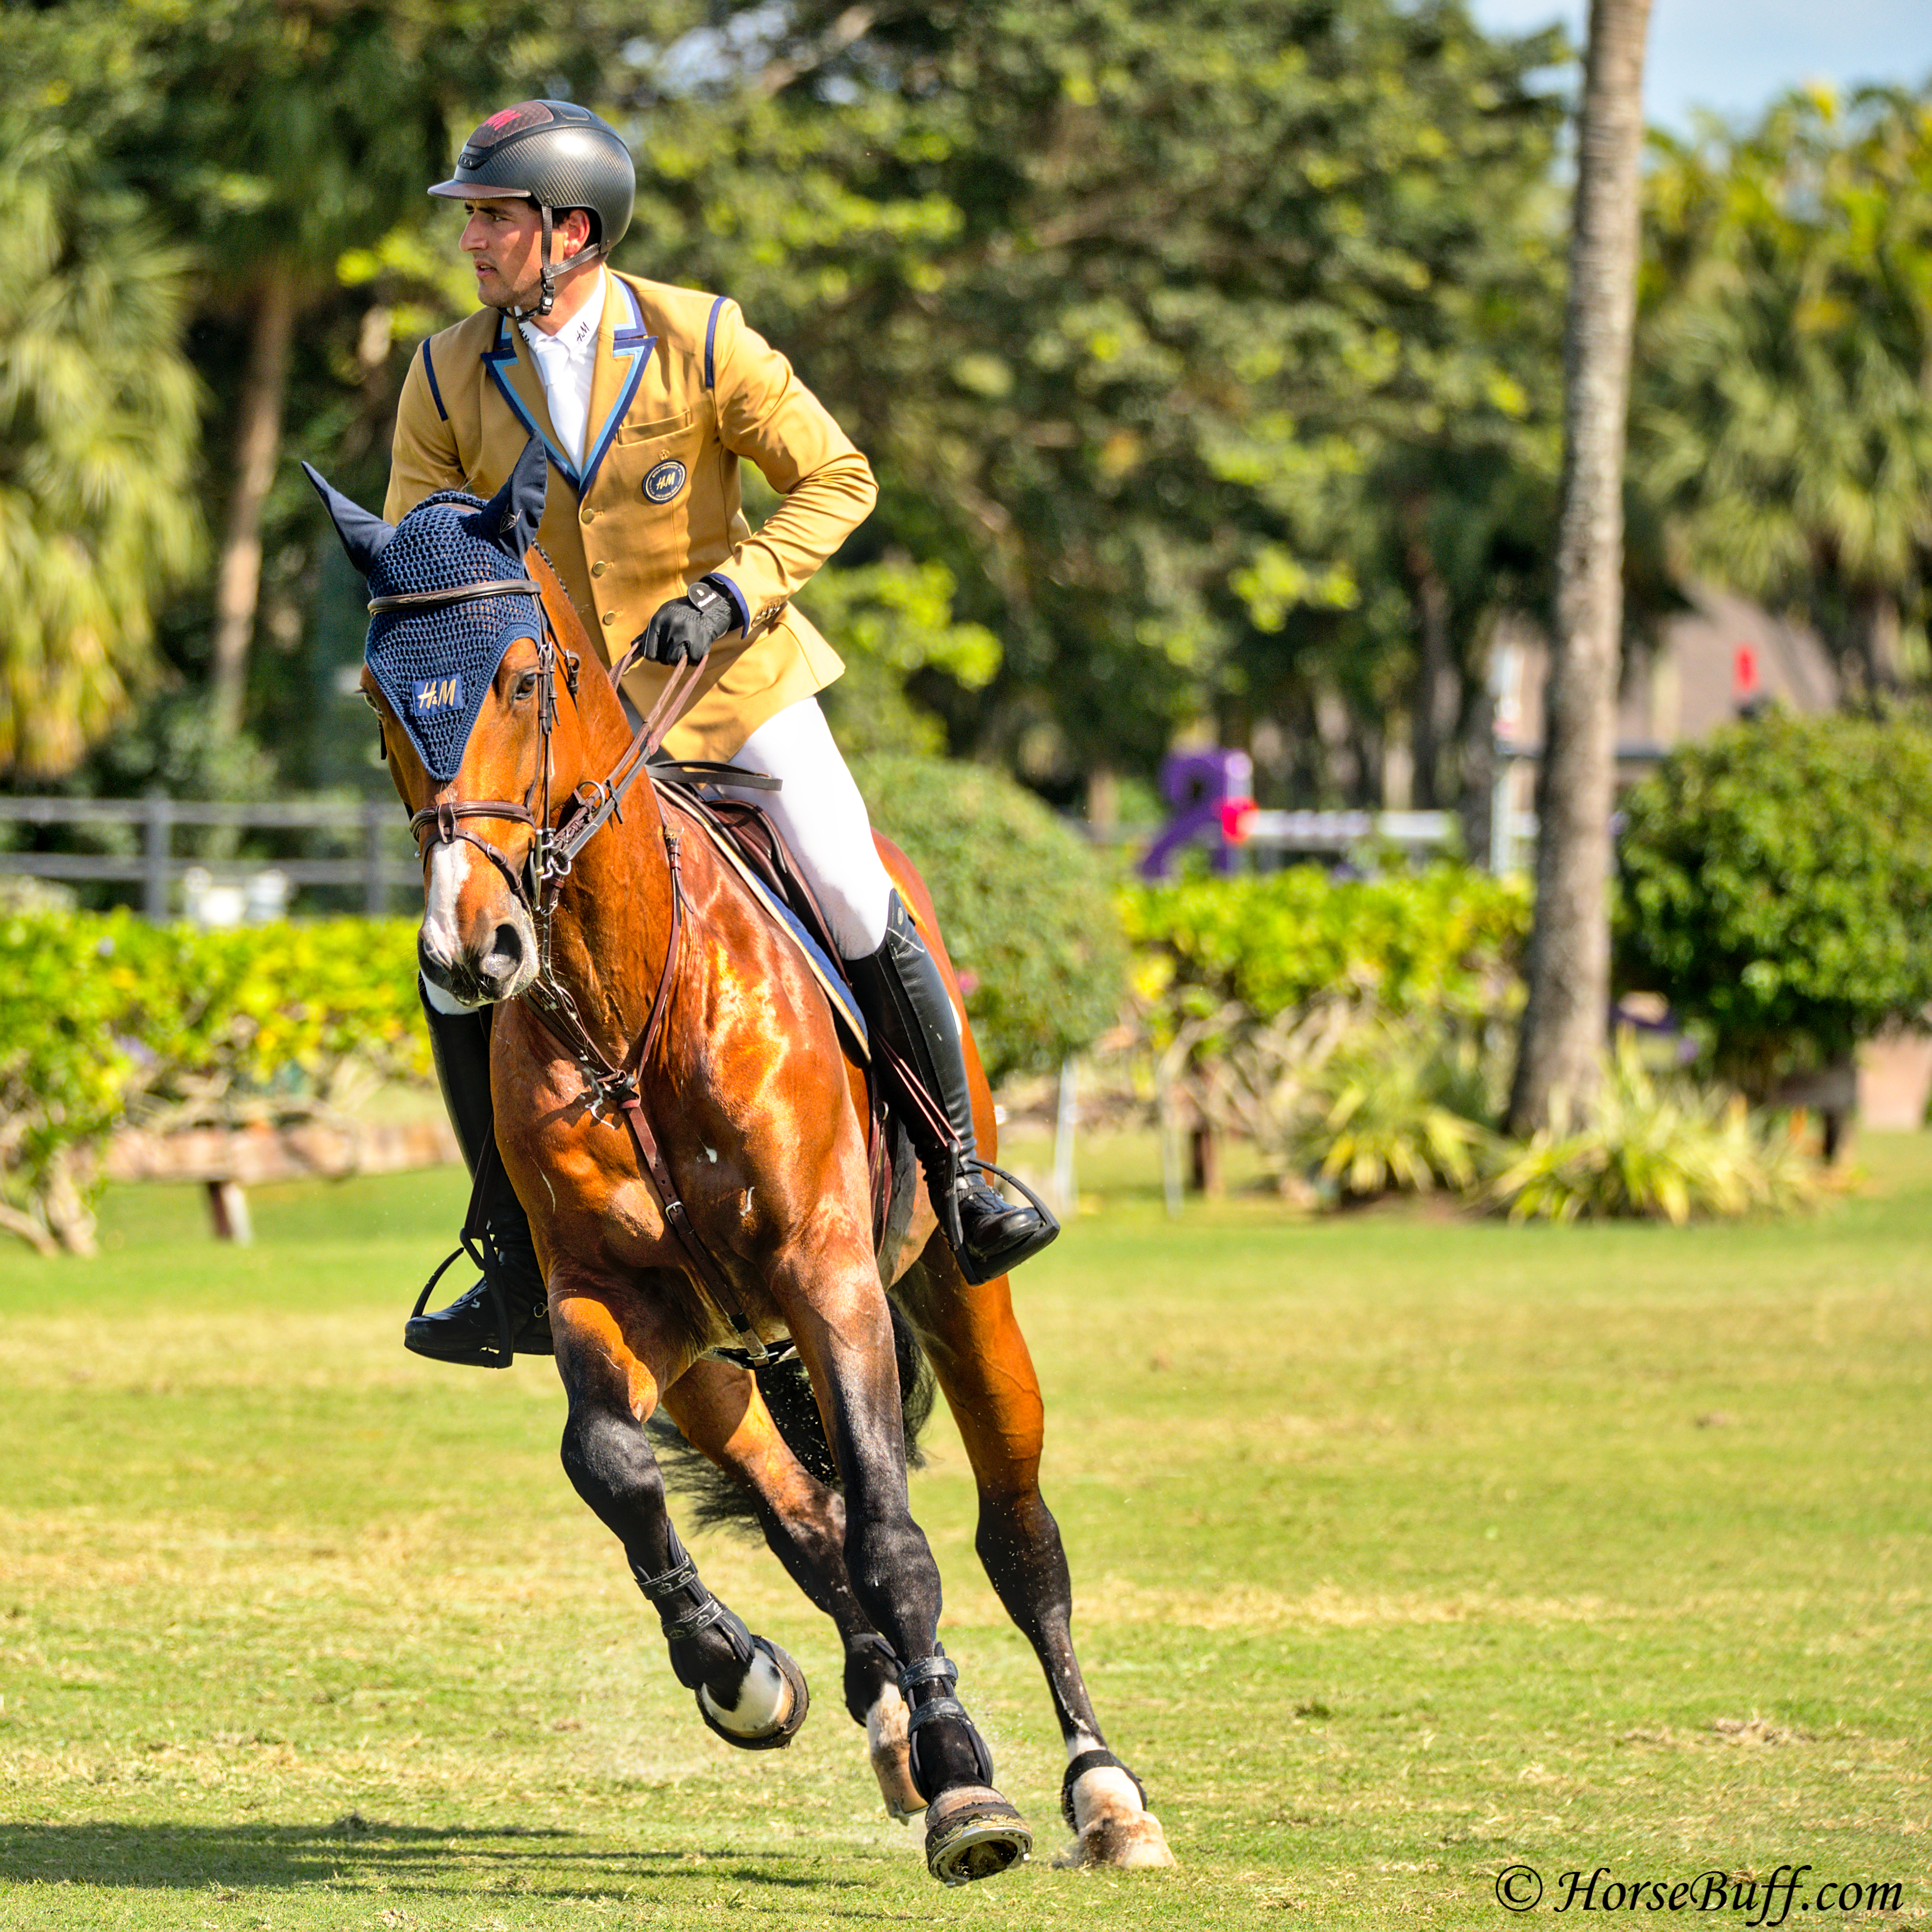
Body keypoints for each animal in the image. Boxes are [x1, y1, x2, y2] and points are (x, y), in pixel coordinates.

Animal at [309, 442, 1167, 1886]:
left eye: (524, 678)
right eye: (378, 695)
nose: (470, 949)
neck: (618, 1002)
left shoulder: (830, 1278)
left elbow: (896, 1529)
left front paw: (971, 1793)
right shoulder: (606, 1299)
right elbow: (613, 1467)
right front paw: (743, 1673)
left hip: (943, 1285)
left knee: (1012, 1529)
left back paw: (1098, 1791)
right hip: (719, 1355)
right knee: (800, 1518)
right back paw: (890, 1719)